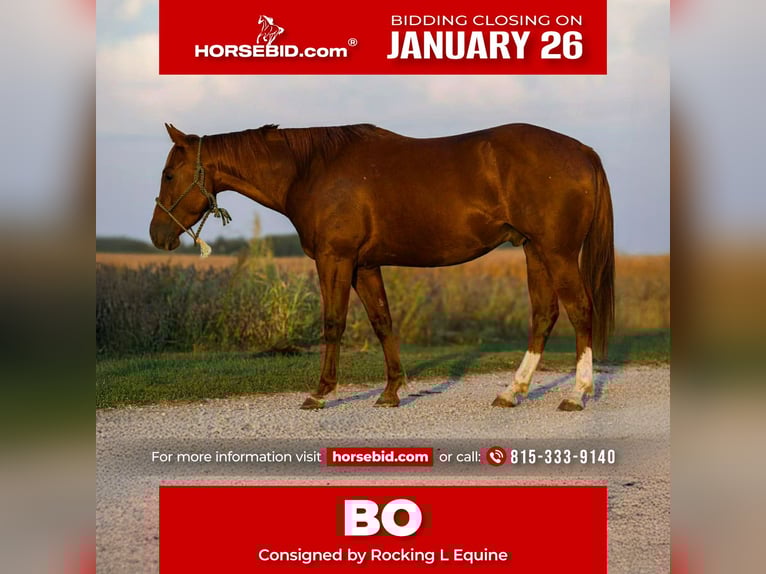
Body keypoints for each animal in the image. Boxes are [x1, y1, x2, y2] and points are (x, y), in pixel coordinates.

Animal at [150, 123, 614, 411]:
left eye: (169, 174)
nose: (158, 235)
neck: (311, 169)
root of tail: (584, 151)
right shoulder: (365, 265)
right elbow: (382, 321)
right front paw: (392, 391)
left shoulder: (335, 259)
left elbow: (333, 323)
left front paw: (320, 393)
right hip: (535, 251)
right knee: (544, 315)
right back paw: (512, 392)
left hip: (557, 252)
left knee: (580, 311)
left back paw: (576, 394)